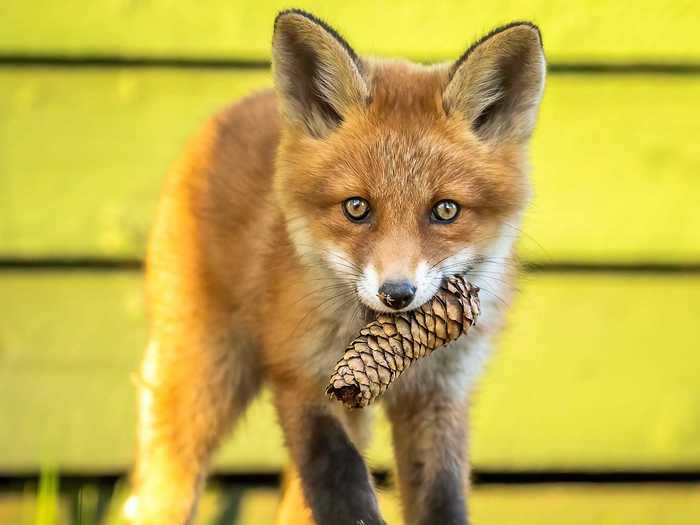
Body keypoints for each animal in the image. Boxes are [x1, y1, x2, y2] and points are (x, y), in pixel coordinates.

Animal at [126, 8, 548, 524]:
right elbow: (338, 476)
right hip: (203, 386)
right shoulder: (302, 377)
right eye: (356, 208)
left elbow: (442, 498)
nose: (397, 294)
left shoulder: (439, 396)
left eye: (446, 210)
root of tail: (238, 106)